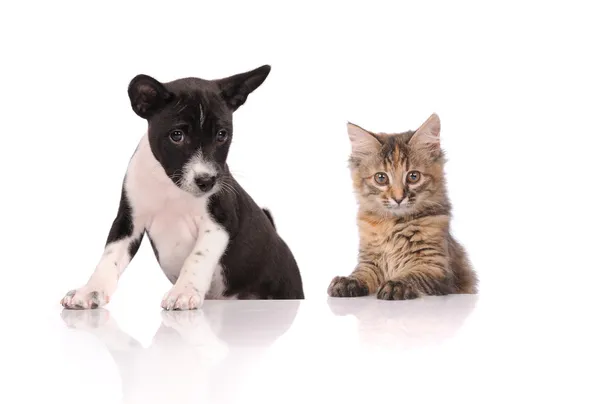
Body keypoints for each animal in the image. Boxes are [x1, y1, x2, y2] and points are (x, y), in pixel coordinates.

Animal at [61, 64, 304, 310]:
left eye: (222, 135)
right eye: (176, 135)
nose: (206, 181)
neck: (171, 187)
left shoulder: (220, 221)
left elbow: (198, 257)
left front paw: (184, 291)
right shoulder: (128, 222)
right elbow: (109, 257)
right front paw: (90, 290)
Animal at [328, 113, 478, 300]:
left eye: (413, 176)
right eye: (381, 178)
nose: (398, 198)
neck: (392, 225)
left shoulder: (435, 266)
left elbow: (413, 275)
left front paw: (396, 285)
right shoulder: (370, 260)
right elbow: (362, 273)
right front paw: (348, 281)